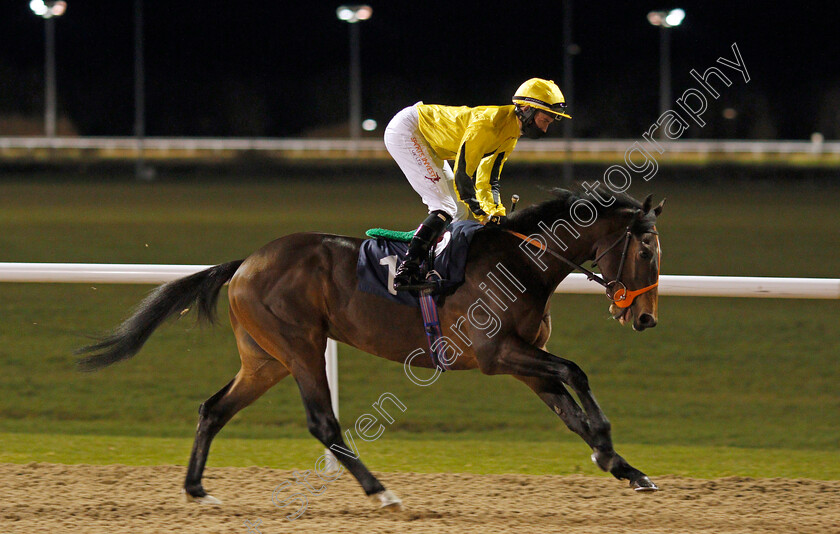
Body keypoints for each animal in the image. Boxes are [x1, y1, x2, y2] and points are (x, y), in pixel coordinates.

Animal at [79, 187, 668, 510]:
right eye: (645, 250)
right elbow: (576, 371)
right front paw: (608, 448)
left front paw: (624, 467)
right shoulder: (496, 354)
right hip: (301, 347)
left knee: (213, 409)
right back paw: (381, 491)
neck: (518, 261)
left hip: (265, 359)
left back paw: (197, 490)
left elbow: (570, 407)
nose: (644, 318)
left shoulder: (524, 362)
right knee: (322, 422)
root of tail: (246, 262)